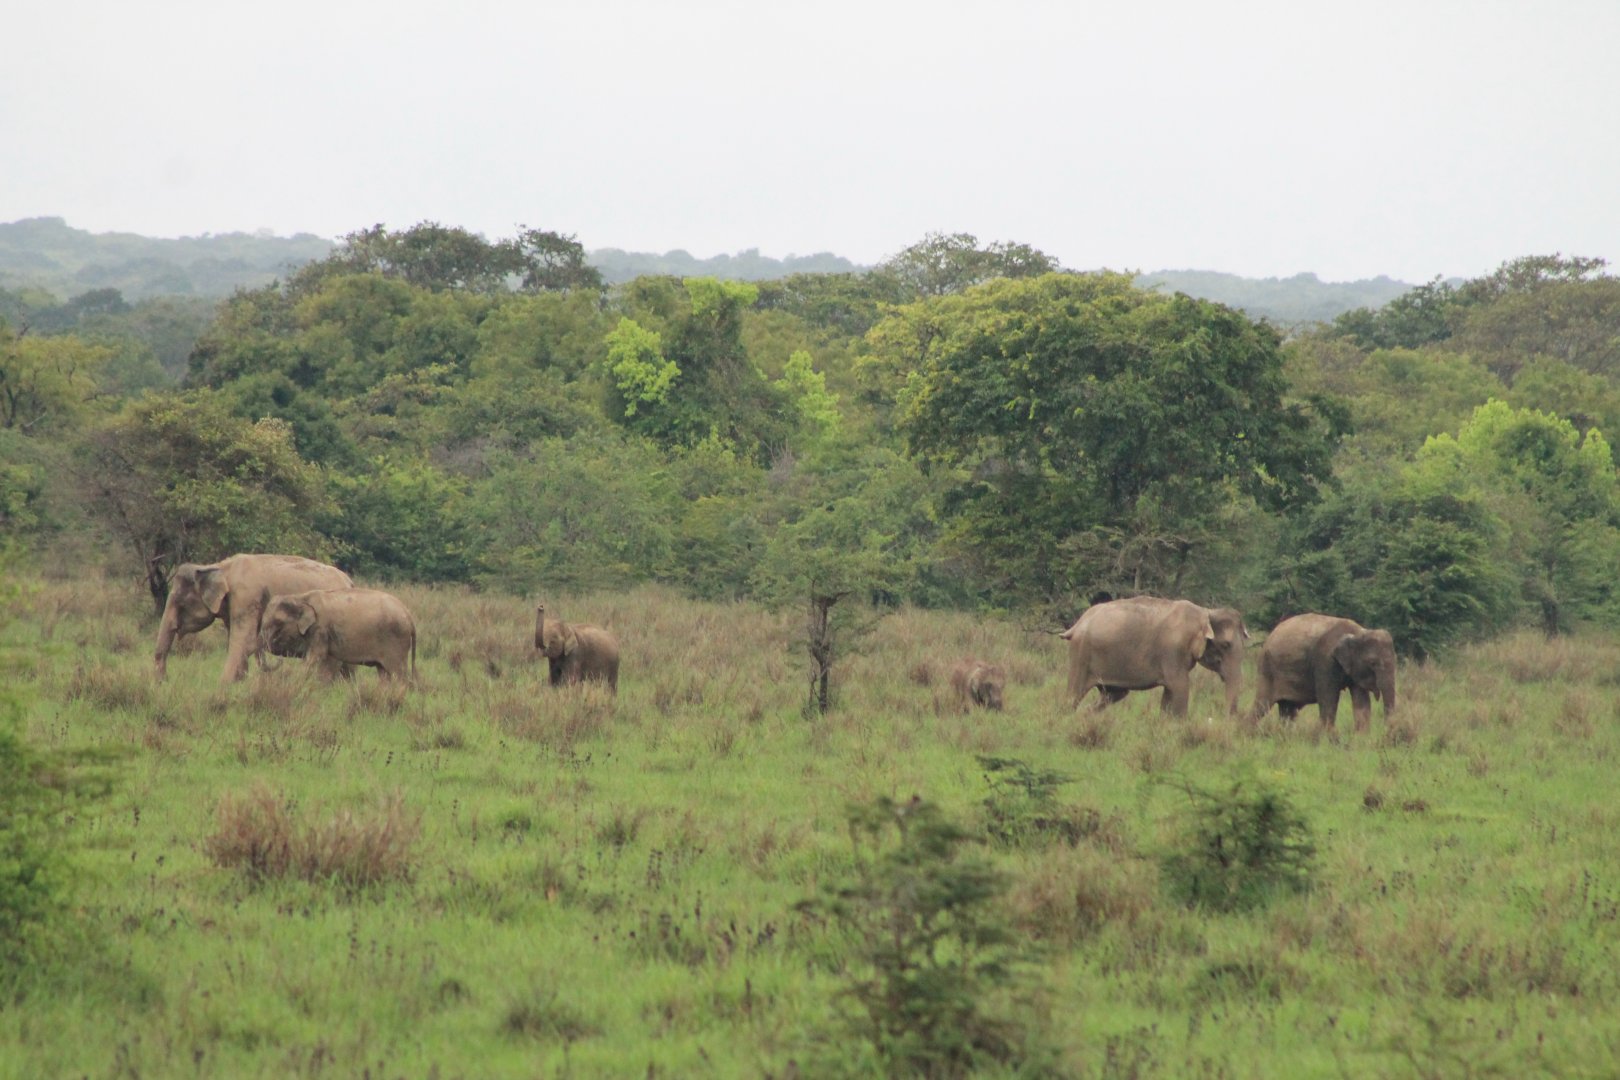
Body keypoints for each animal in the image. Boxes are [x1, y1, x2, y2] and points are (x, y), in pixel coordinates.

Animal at [154, 553, 353, 685]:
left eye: (180, 603)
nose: (164, 680)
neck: (221, 567)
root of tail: (350, 581)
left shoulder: (245, 598)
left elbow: (244, 640)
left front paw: (223, 685)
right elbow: (236, 639)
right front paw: (240, 682)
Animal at [258, 588, 417, 681]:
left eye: (278, 623)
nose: (280, 659)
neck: (300, 597)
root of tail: (409, 615)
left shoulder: (320, 629)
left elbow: (316, 656)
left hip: (396, 641)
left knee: (397, 674)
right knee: (384, 674)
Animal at [1061, 597, 1215, 717]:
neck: (1201, 612)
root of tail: (1077, 624)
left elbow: (1170, 691)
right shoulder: (1173, 651)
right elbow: (1179, 686)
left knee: (1114, 694)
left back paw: (1085, 715)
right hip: (1081, 655)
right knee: (1073, 696)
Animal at [1250, 613, 1396, 734]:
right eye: (1373, 662)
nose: (1386, 731)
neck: (1358, 633)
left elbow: (1362, 701)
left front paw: (1361, 738)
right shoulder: (1325, 661)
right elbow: (1328, 700)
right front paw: (1329, 739)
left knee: (1287, 710)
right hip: (1267, 670)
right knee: (1262, 706)